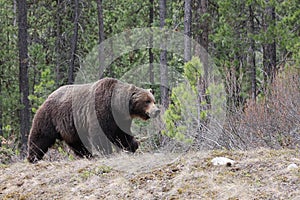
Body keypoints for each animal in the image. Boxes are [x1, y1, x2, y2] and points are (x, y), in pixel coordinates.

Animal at [27, 77, 161, 163]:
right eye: (147, 101)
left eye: (153, 100)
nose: (157, 111)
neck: (118, 107)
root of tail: (49, 95)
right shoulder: (101, 109)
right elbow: (99, 134)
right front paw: (107, 152)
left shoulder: (121, 119)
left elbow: (122, 134)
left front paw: (133, 145)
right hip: (51, 116)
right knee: (40, 136)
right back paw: (33, 157)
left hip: (71, 127)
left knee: (76, 142)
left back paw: (87, 154)